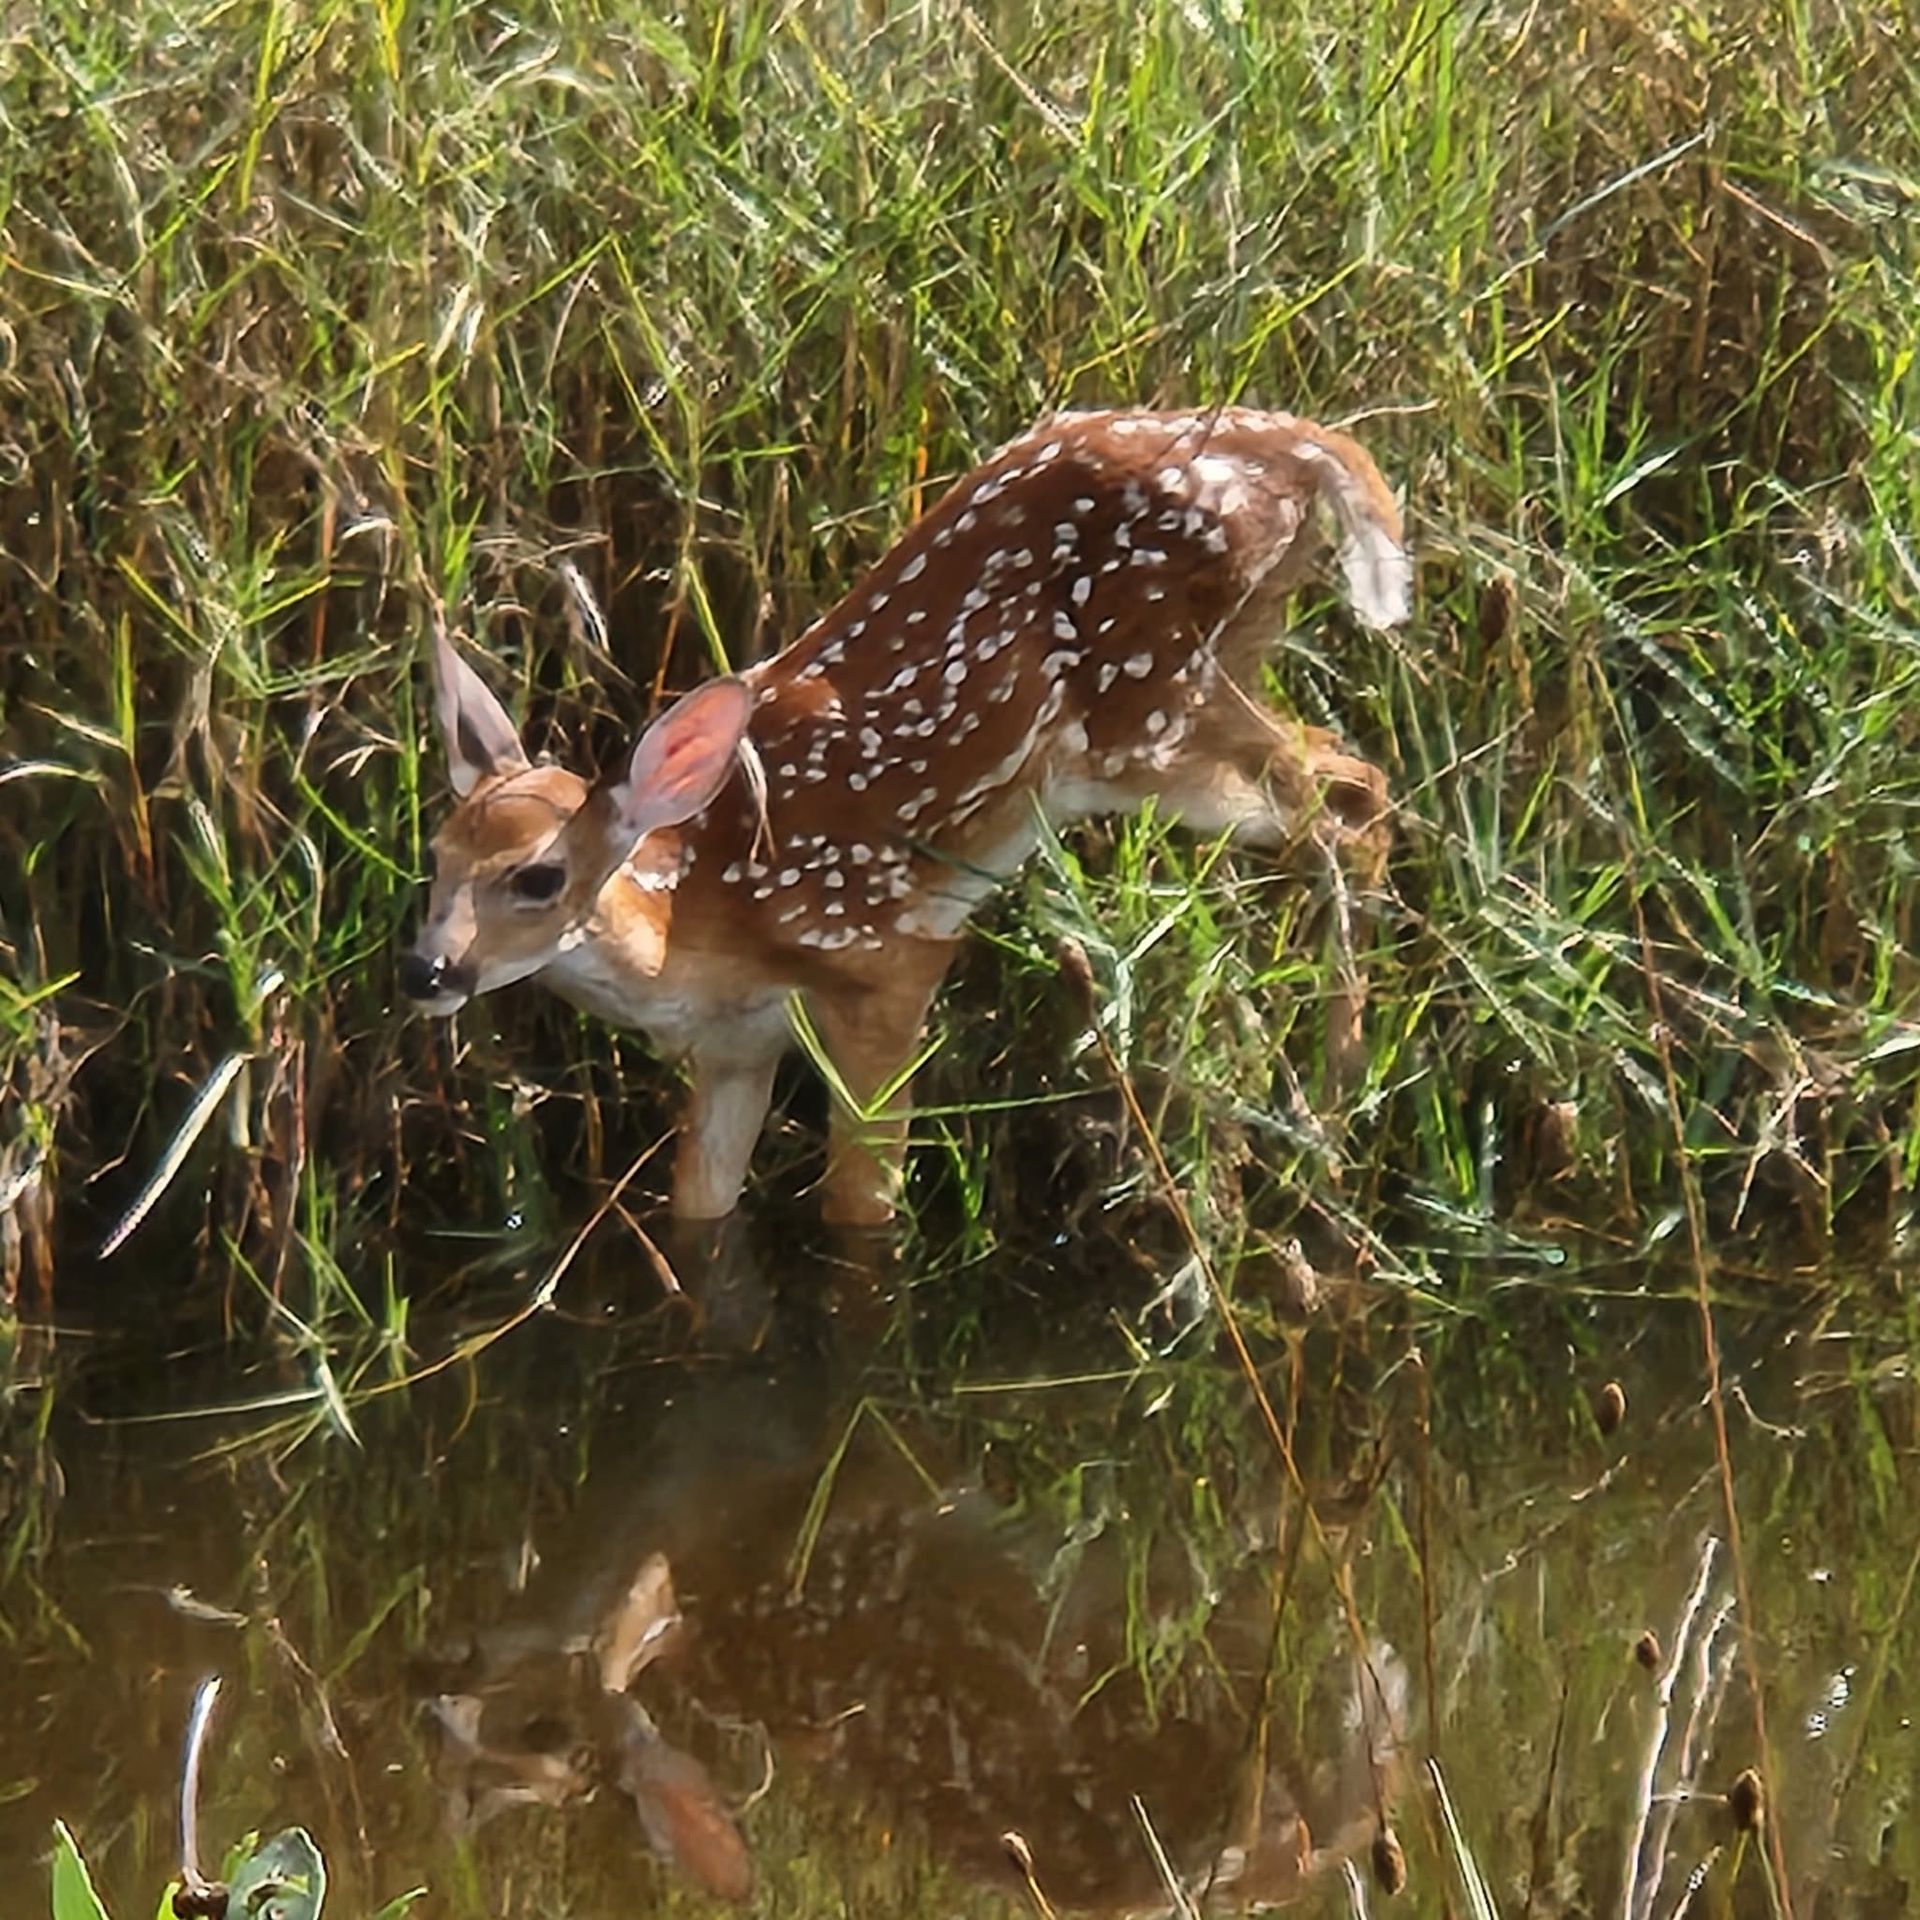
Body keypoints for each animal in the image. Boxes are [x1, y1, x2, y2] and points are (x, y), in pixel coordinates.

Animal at [400, 407, 1410, 1228]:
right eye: (436, 856)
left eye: (538, 875)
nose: (429, 970)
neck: (698, 919)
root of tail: (1297, 442)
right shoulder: (735, 1050)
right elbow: (702, 1208)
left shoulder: (887, 968)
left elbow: (861, 1209)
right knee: (1350, 782)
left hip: (1156, 713)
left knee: (1351, 797)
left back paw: (1334, 1107)